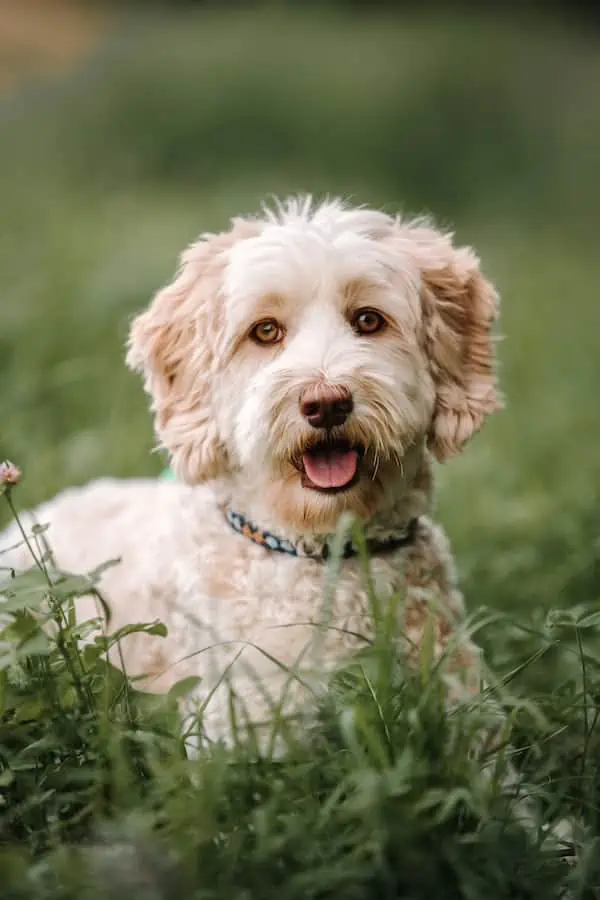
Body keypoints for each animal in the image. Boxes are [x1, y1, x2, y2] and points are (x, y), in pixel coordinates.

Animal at [0, 199, 502, 744]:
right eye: (265, 331)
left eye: (369, 320)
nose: (326, 403)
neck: (320, 552)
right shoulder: (244, 720)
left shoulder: (464, 699)